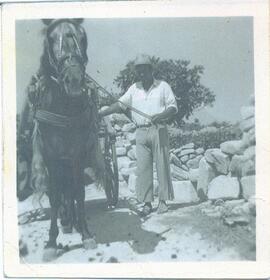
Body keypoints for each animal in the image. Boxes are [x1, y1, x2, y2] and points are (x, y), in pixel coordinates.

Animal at [19, 18, 104, 262]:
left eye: (82, 38)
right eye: (51, 38)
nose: (74, 80)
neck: (64, 107)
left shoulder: (76, 156)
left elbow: (78, 192)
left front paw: (85, 233)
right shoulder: (50, 157)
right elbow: (56, 196)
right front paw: (51, 242)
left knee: (71, 191)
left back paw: (72, 221)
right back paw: (66, 221)